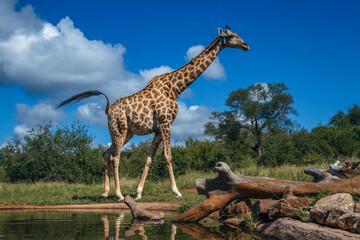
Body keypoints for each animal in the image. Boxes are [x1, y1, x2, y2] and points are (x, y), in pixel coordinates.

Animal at [58, 25, 250, 201]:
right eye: (231, 36)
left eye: (237, 33)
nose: (246, 45)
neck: (175, 88)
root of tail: (109, 110)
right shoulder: (166, 123)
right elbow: (168, 156)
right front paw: (177, 192)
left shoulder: (157, 129)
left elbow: (149, 158)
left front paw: (138, 193)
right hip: (119, 130)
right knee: (115, 157)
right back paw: (118, 194)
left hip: (126, 132)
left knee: (106, 153)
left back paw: (105, 192)